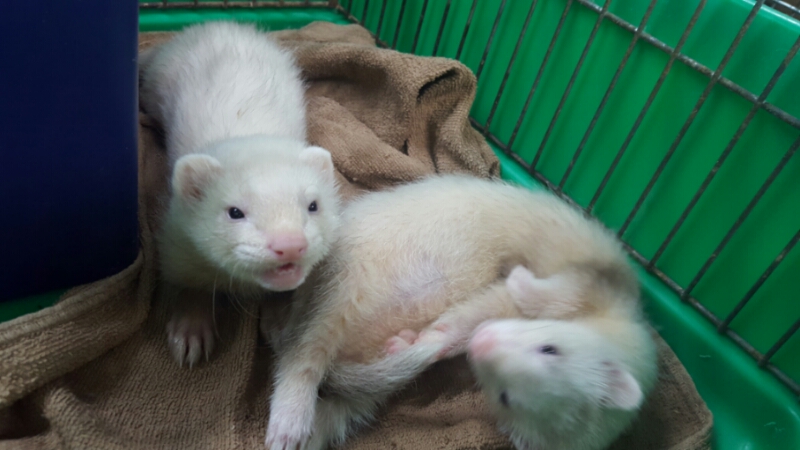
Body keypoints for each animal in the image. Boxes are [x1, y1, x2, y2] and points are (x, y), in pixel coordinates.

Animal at [139, 21, 340, 367]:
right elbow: (189, 286)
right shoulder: (176, 246)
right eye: (235, 211)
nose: (290, 244)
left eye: (313, 205)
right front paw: (191, 329)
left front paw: (280, 321)